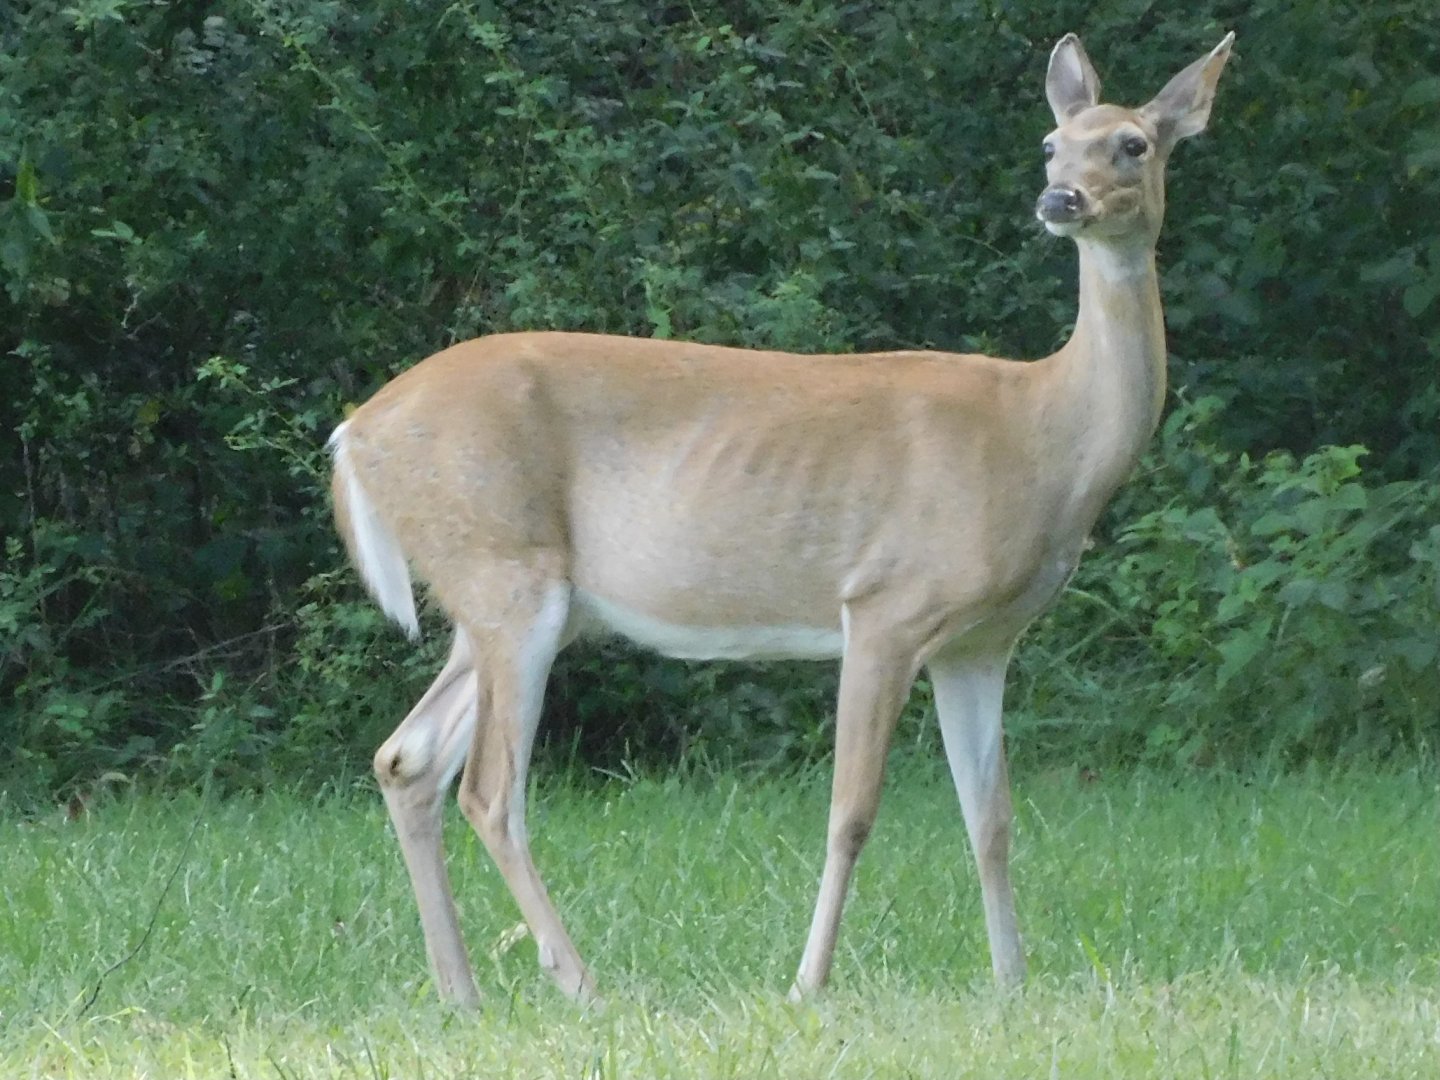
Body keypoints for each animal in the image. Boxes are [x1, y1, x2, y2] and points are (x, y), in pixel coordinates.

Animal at [327, 31, 1235, 1006]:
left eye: (1133, 143)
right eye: (1051, 143)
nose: (1059, 199)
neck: (1046, 436)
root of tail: (355, 433)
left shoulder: (979, 642)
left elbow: (991, 818)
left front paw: (1012, 985)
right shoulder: (886, 603)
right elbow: (852, 812)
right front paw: (808, 984)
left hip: (509, 599)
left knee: (407, 760)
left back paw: (462, 993)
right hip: (505, 570)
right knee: (489, 789)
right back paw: (581, 984)